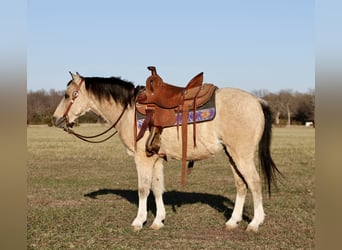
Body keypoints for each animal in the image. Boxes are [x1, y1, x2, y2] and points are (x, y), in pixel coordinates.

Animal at [52, 68, 280, 232]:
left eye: (68, 95)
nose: (55, 120)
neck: (129, 111)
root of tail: (257, 100)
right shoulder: (156, 158)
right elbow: (157, 188)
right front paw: (158, 221)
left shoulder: (142, 159)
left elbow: (143, 189)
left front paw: (139, 221)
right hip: (232, 155)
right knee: (241, 185)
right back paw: (233, 222)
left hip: (242, 155)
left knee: (254, 182)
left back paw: (254, 223)